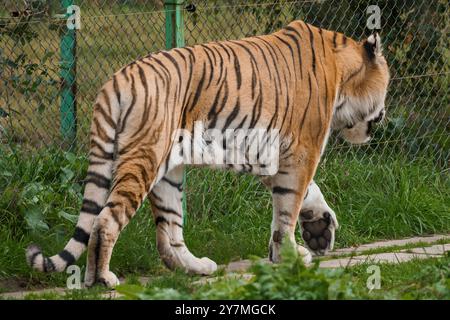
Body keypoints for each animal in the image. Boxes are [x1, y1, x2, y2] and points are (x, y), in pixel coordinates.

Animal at [25, 19, 390, 288]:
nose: (384, 115)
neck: (343, 74)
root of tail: (115, 80)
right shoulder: (301, 152)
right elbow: (288, 208)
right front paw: (289, 254)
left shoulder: (270, 157)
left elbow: (304, 195)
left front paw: (316, 231)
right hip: (144, 160)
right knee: (105, 221)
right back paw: (101, 280)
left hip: (168, 172)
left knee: (168, 232)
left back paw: (194, 268)